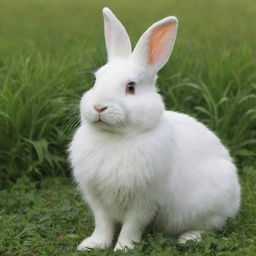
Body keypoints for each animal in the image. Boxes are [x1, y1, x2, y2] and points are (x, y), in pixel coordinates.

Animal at [68, 7, 240, 251]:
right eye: (95, 81)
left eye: (131, 87)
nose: (99, 106)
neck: (116, 137)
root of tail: (235, 200)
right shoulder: (98, 200)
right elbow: (103, 225)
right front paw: (92, 245)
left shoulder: (144, 202)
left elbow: (131, 227)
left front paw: (123, 248)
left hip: (207, 207)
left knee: (211, 226)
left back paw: (188, 238)